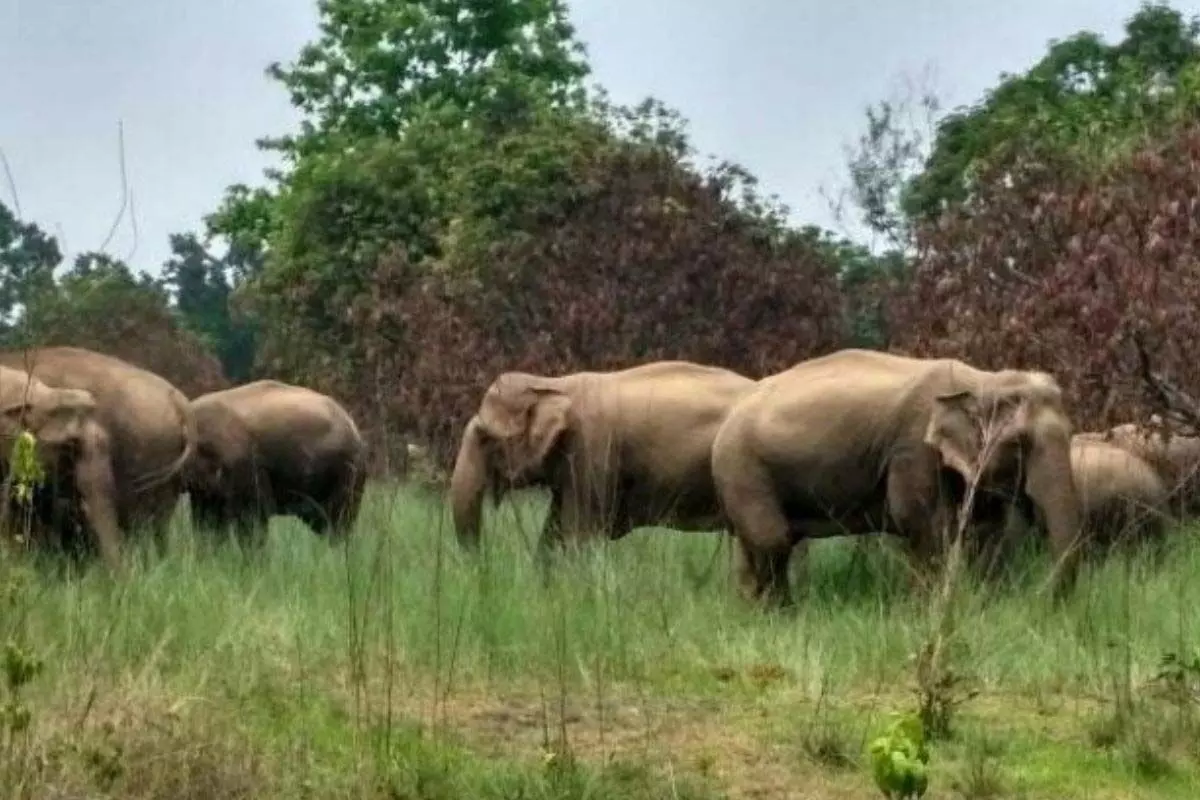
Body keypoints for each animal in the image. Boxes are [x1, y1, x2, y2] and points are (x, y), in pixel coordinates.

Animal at [182, 381, 367, 544]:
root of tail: (354, 427)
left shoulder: (244, 465)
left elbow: (253, 520)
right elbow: (206, 522)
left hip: (347, 471)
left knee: (337, 522)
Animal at [451, 362, 758, 556]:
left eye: (484, 438)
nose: (481, 565)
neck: (554, 384)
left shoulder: (592, 450)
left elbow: (577, 532)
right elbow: (554, 530)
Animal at [705, 347, 1084, 606]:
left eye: (1071, 434)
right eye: (1019, 444)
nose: (1039, 600)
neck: (981, 380)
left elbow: (987, 531)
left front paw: (981, 604)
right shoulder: (913, 447)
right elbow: (924, 523)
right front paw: (922, 611)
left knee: (759, 542)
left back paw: (752, 610)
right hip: (742, 466)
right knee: (773, 539)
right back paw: (780, 614)